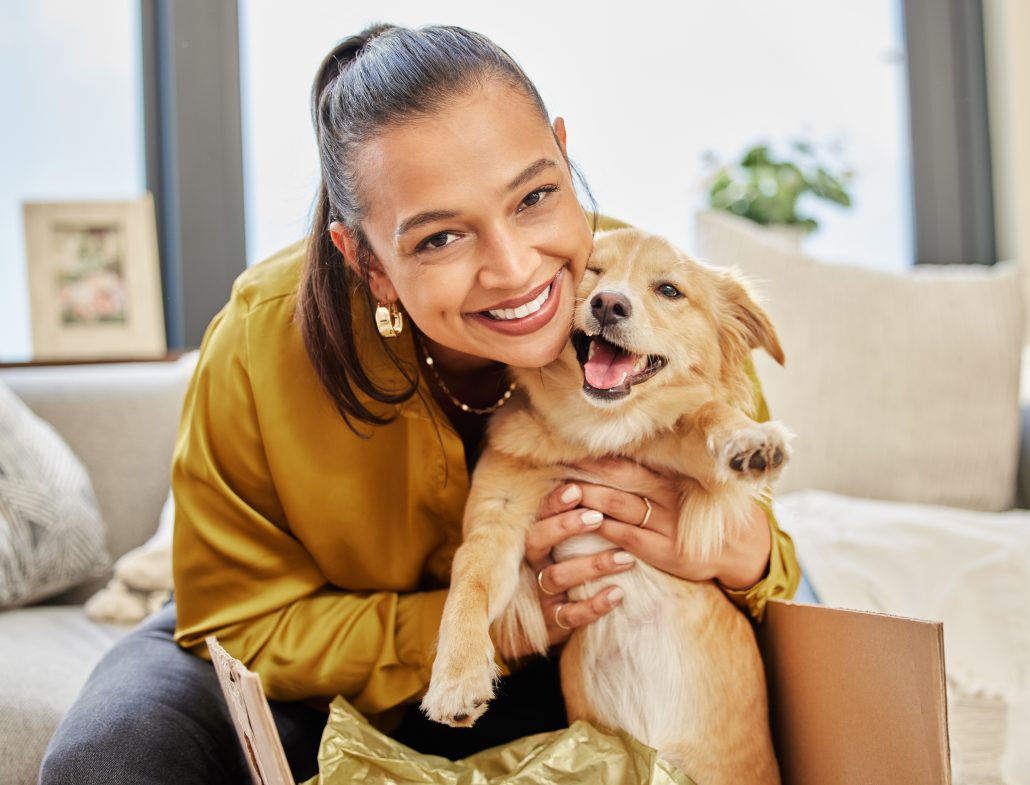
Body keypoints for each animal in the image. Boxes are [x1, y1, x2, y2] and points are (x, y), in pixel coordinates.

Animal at [422, 223, 791, 778]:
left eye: (669, 290)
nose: (609, 304)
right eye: (591, 271)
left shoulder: (697, 478)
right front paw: (456, 678)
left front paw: (749, 440)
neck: (597, 430)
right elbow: (468, 584)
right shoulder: (496, 524)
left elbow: (704, 414)